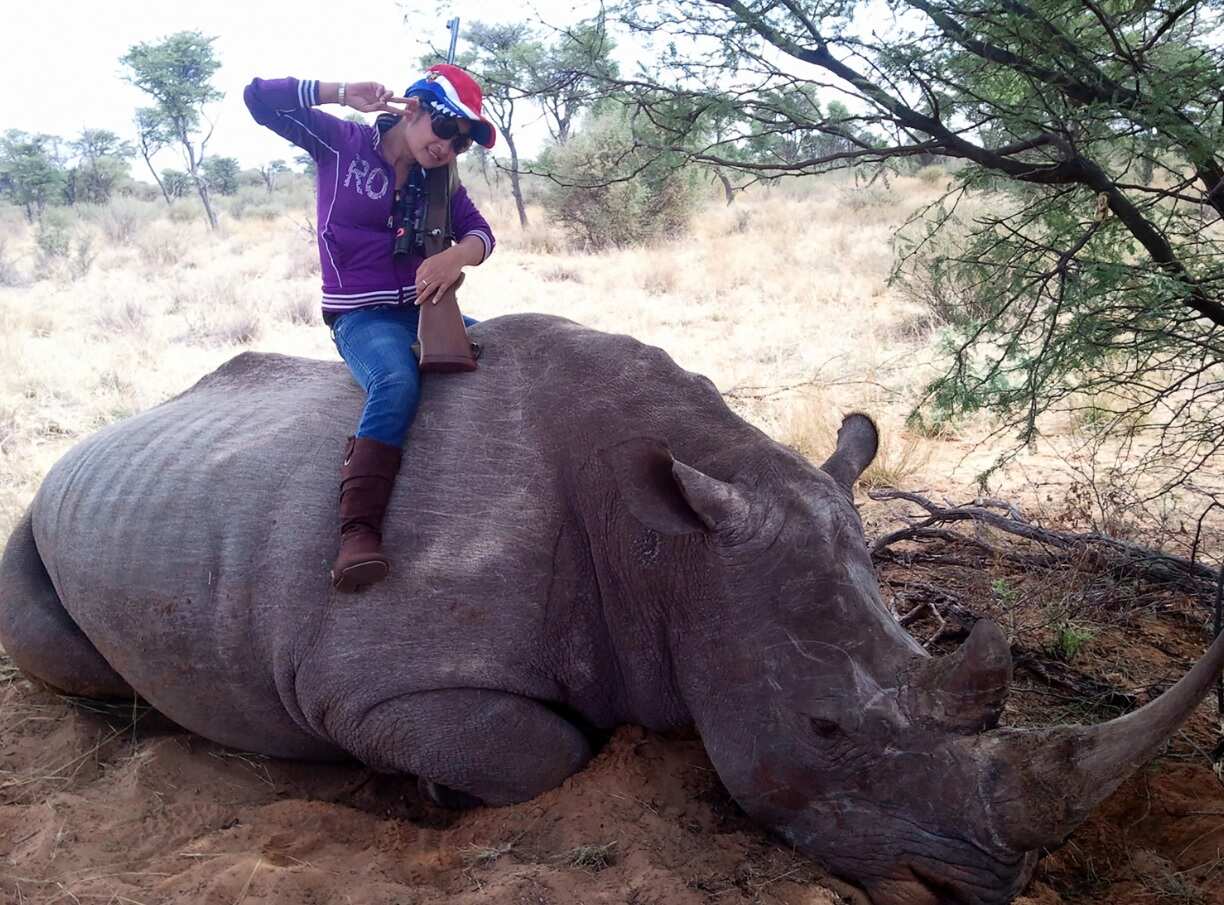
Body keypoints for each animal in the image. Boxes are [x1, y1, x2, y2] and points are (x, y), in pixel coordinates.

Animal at [2, 313, 1222, 905]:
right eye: (824, 727)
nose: (976, 888)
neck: (673, 550)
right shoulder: (369, 685)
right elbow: (542, 751)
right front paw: (428, 793)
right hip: (42, 517)